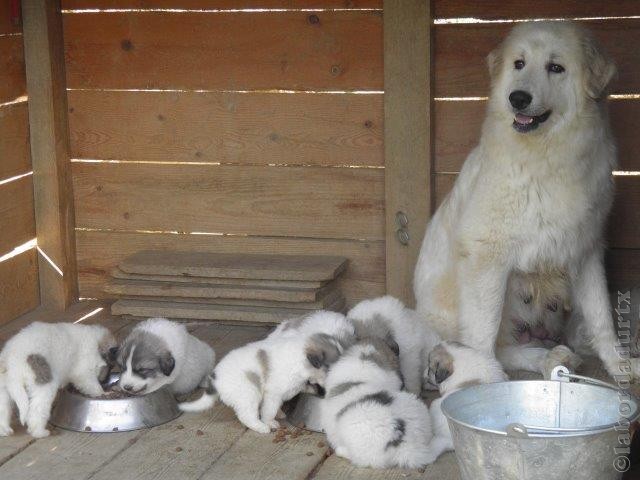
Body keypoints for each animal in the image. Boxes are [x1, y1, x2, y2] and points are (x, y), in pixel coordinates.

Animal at [416, 22, 636, 380]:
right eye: (519, 64)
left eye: (556, 67)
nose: (517, 98)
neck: (546, 159)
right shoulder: (487, 258)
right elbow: (482, 335)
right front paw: (485, 379)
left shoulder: (586, 250)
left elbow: (602, 317)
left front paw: (620, 364)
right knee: (496, 346)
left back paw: (555, 357)